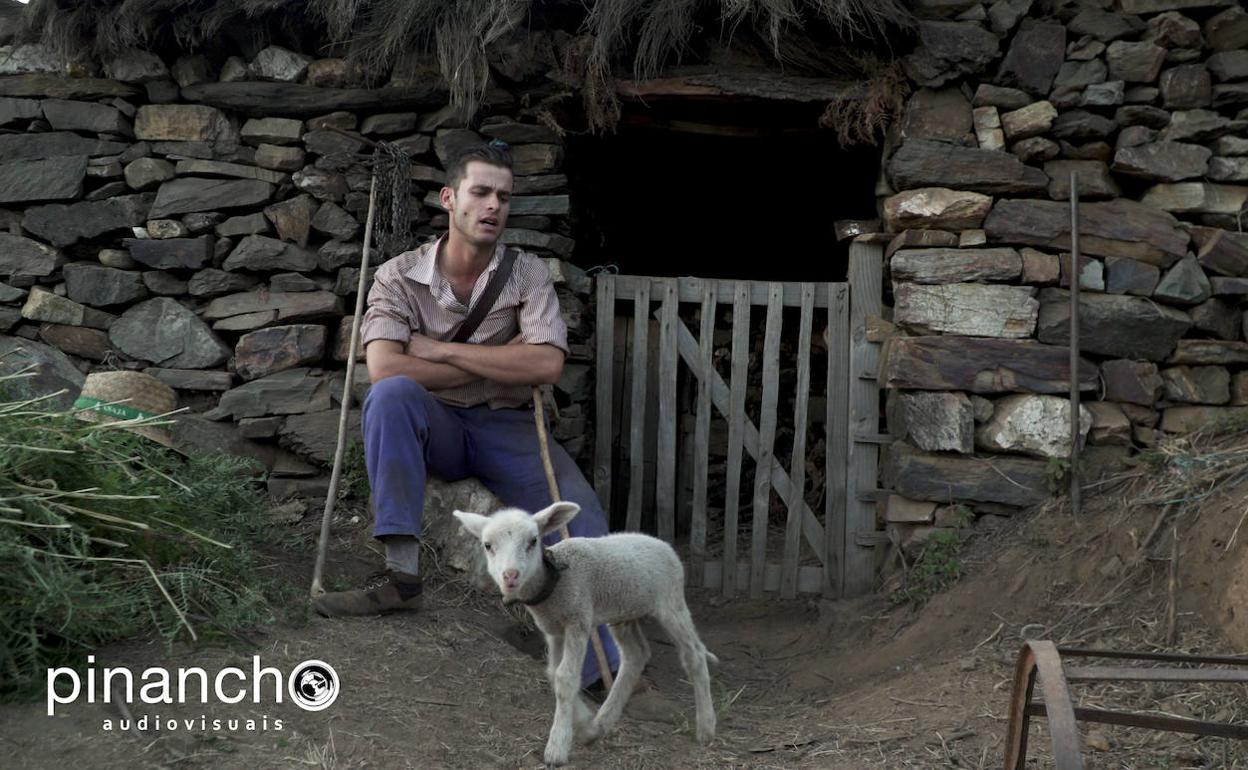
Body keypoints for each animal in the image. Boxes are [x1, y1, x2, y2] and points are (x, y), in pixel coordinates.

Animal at [454, 499, 718, 763]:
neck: (553, 583)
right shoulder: (554, 630)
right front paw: (583, 724)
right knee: (636, 655)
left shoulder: (577, 620)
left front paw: (558, 745)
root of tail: (662, 544)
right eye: (488, 545)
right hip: (624, 614)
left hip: (671, 602)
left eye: (533, 540)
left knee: (694, 654)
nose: (510, 576)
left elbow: (566, 677)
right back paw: (601, 724)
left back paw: (706, 726)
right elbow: (553, 673)